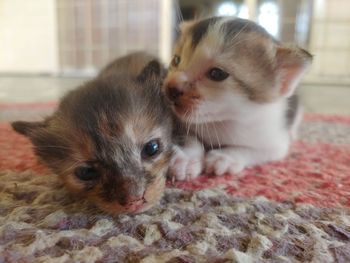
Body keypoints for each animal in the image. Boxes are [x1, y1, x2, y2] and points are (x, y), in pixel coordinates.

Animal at [163, 17, 314, 182]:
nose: (171, 87)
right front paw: (186, 159)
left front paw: (226, 157)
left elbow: (252, 150)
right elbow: (188, 137)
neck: (222, 121)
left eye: (217, 73)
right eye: (176, 60)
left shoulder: (275, 142)